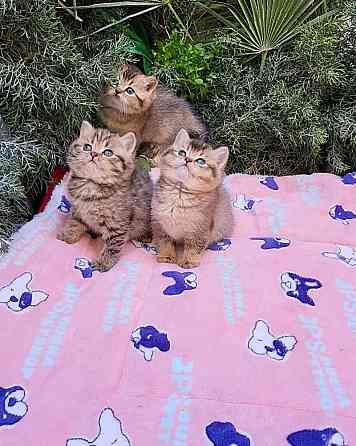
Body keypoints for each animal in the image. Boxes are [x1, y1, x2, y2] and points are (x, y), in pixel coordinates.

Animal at [56, 120, 152, 272]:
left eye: (108, 152)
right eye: (87, 147)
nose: (93, 154)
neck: (91, 185)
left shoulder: (117, 224)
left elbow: (113, 245)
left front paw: (105, 262)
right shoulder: (78, 210)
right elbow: (74, 222)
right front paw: (67, 235)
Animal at [152, 129, 234, 268]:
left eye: (200, 161)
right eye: (182, 152)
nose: (187, 159)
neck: (179, 194)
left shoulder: (200, 229)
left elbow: (193, 247)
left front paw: (188, 260)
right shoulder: (160, 223)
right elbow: (165, 242)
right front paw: (166, 256)